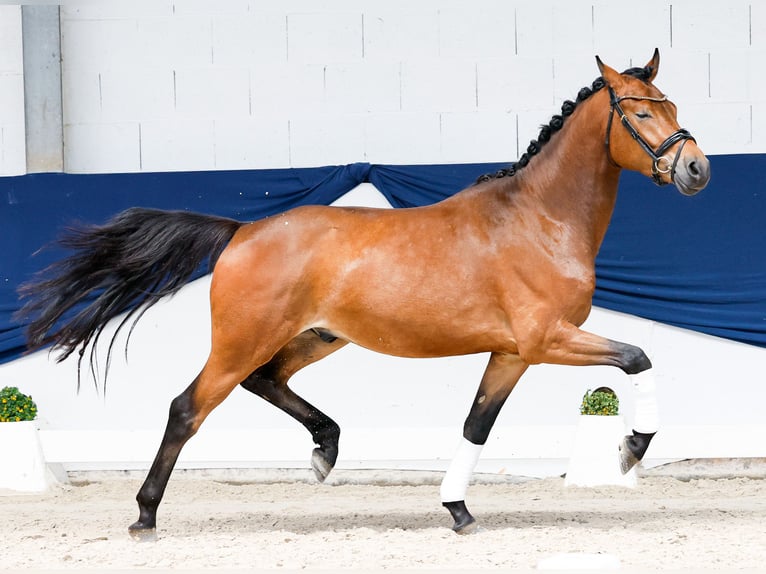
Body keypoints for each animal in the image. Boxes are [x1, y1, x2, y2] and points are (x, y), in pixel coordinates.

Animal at [17, 50, 710, 537]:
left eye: (673, 106)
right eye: (640, 112)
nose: (697, 169)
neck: (538, 218)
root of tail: (241, 230)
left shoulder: (512, 353)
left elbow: (476, 425)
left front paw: (457, 510)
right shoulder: (547, 340)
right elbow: (638, 358)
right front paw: (629, 450)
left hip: (315, 338)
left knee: (266, 381)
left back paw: (325, 450)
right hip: (243, 340)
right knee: (188, 407)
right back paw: (145, 516)